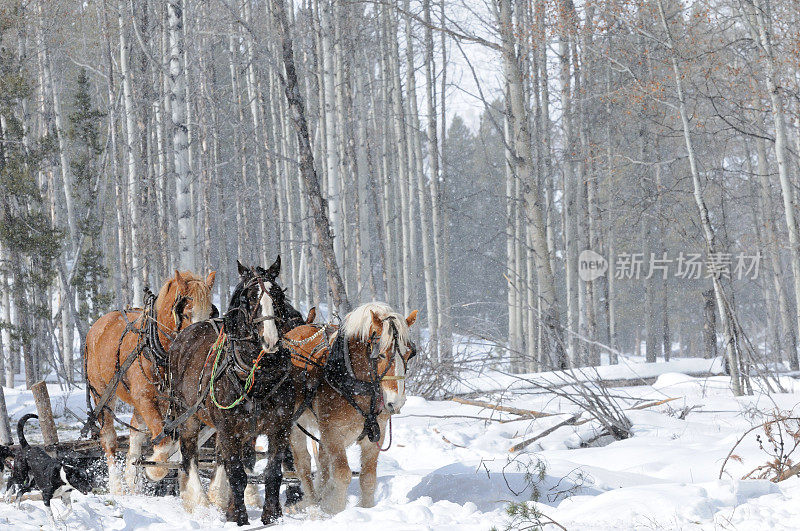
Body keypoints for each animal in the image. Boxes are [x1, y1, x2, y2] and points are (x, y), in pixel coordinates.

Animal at [85, 270, 216, 494]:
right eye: (186, 313)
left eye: (210, 313)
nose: (200, 344)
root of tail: (98, 326)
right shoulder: (144, 397)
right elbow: (163, 441)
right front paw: (153, 469)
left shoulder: (170, 402)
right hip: (103, 393)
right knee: (108, 436)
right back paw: (117, 485)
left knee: (134, 430)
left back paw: (131, 476)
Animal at [170, 258, 296, 528]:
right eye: (249, 297)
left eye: (278, 295)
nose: (270, 340)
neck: (257, 374)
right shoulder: (229, 428)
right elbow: (236, 473)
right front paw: (238, 517)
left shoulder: (279, 427)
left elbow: (272, 471)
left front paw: (272, 515)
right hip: (188, 417)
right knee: (190, 456)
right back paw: (199, 503)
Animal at [290, 304, 422, 516]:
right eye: (380, 354)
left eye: (410, 353)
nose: (395, 403)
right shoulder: (333, 432)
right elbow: (342, 474)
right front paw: (335, 509)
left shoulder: (376, 434)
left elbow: (368, 477)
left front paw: (365, 509)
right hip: (294, 423)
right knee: (303, 463)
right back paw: (311, 503)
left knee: (323, 460)